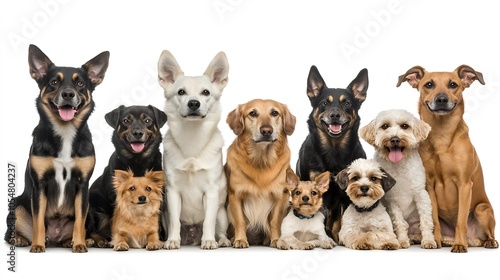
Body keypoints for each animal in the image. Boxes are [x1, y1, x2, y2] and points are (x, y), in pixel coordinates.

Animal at [4, 44, 110, 254]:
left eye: (80, 84)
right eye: (54, 82)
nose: (68, 94)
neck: (65, 132)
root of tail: (54, 238)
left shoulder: (82, 186)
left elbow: (79, 222)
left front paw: (79, 244)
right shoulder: (39, 185)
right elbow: (38, 220)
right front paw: (37, 245)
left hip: (90, 206)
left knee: (85, 225)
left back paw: (88, 240)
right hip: (16, 205)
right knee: (11, 232)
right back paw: (20, 239)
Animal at [84, 104, 166, 247]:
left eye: (147, 120)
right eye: (126, 121)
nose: (138, 133)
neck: (137, 162)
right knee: (91, 230)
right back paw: (97, 240)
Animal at [294, 65, 370, 243]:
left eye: (347, 103)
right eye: (324, 103)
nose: (335, 115)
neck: (334, 150)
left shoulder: (342, 196)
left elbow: (336, 221)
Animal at [360, 109, 438, 249]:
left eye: (404, 126)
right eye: (385, 126)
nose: (395, 139)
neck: (398, 165)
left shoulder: (421, 193)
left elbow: (426, 220)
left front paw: (428, 240)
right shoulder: (392, 199)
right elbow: (399, 222)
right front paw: (402, 241)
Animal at [396, 65, 498, 252]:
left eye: (453, 84)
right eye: (429, 84)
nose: (442, 99)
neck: (441, 136)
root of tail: (474, 239)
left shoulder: (464, 184)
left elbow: (461, 221)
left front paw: (459, 244)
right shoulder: (429, 185)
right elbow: (434, 220)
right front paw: (435, 241)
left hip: (482, 209)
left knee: (487, 235)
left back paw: (485, 242)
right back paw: (445, 240)